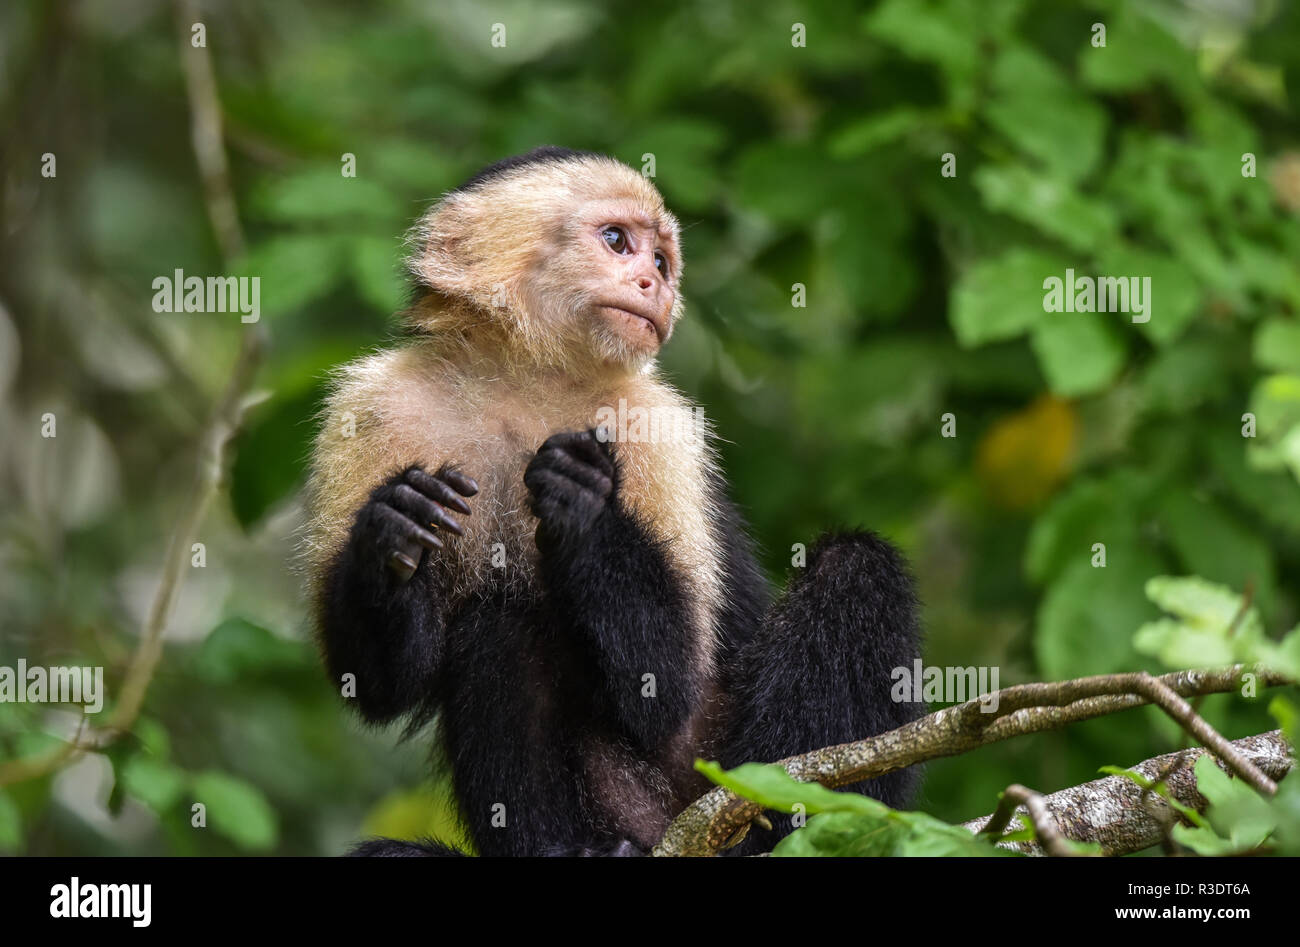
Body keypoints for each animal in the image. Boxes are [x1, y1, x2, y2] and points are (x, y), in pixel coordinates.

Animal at [301, 148, 925, 858]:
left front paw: (584, 503)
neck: (526, 381)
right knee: (500, 627)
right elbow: (376, 684)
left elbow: (665, 687)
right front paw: (392, 531)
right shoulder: (373, 407)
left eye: (661, 261)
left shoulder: (655, 425)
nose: (657, 287)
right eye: (617, 241)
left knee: (855, 565)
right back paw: (566, 850)